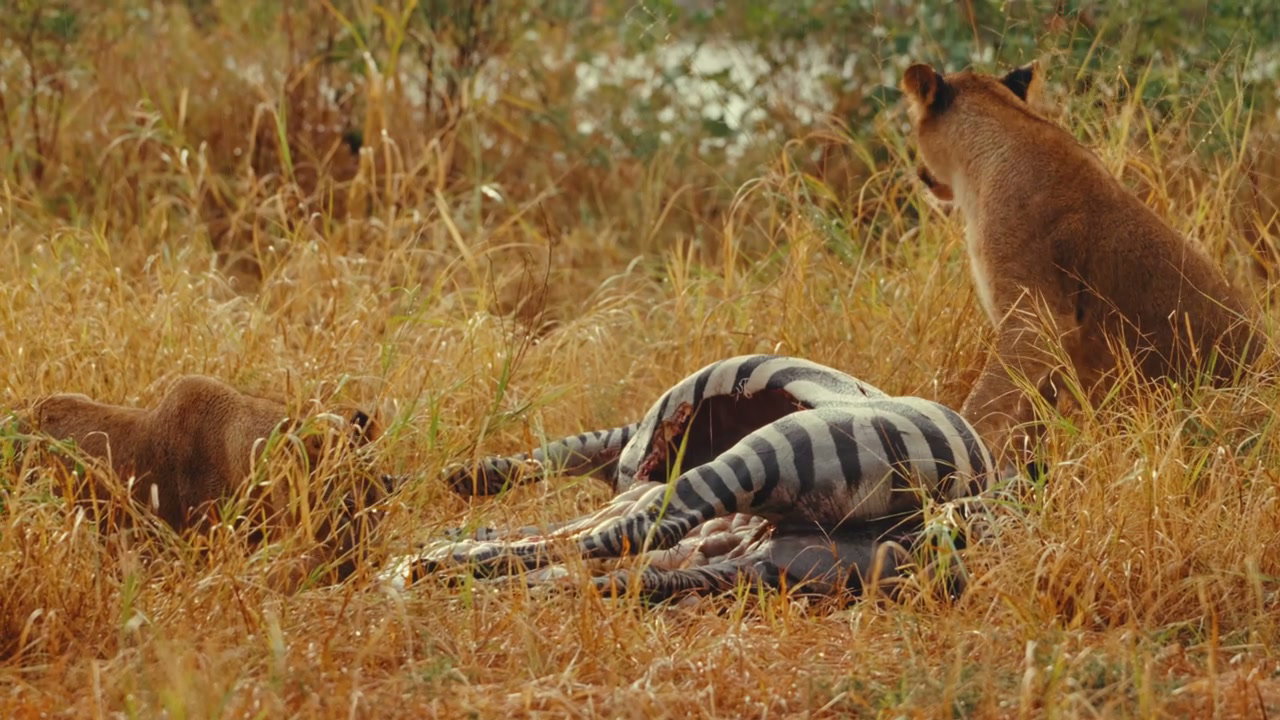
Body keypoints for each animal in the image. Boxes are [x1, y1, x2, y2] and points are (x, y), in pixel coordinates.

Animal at [386, 355, 996, 600]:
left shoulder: (625, 449)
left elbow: (559, 455)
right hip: (777, 565)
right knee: (627, 570)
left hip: (783, 447)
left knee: (641, 529)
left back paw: (441, 566)